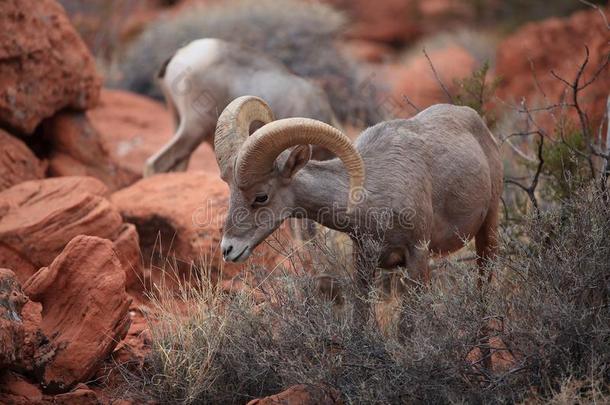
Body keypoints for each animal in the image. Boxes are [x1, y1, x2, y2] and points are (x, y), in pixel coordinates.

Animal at [216, 94, 502, 290]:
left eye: (261, 196)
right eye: (231, 191)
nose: (228, 249)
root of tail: (475, 119)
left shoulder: (417, 256)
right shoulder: (364, 263)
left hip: (488, 230)